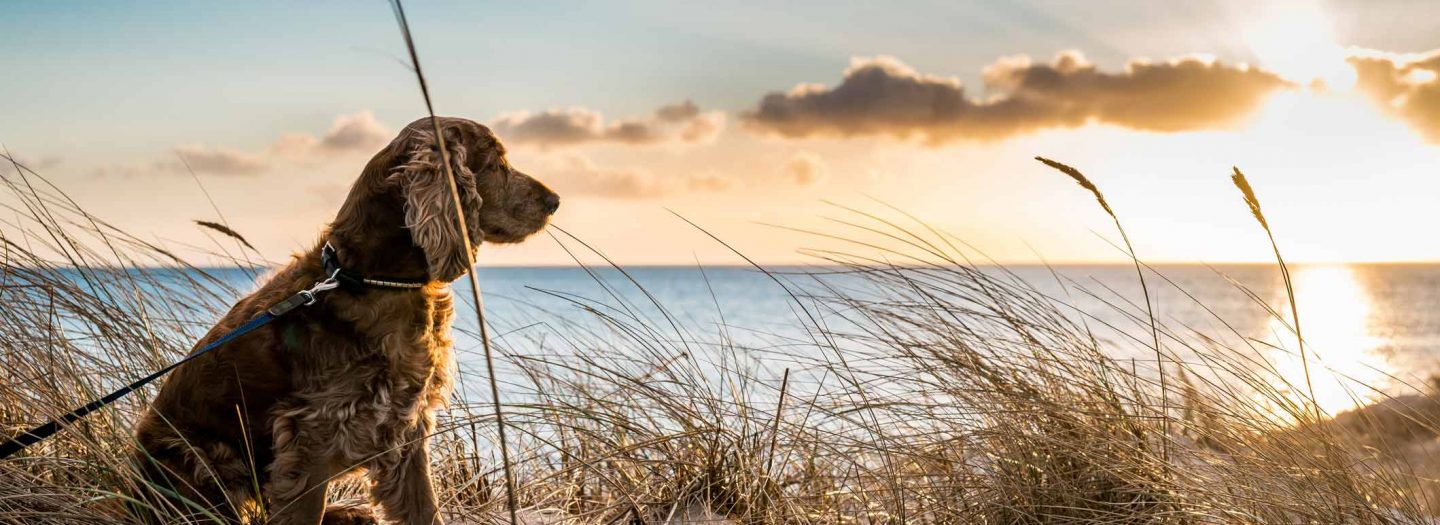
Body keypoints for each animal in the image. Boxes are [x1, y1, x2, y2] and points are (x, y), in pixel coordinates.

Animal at [132, 117, 555, 523]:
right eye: (496, 163)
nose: (555, 200)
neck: (369, 278)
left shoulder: (408, 425)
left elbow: (425, 509)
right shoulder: (312, 436)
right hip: (208, 458)